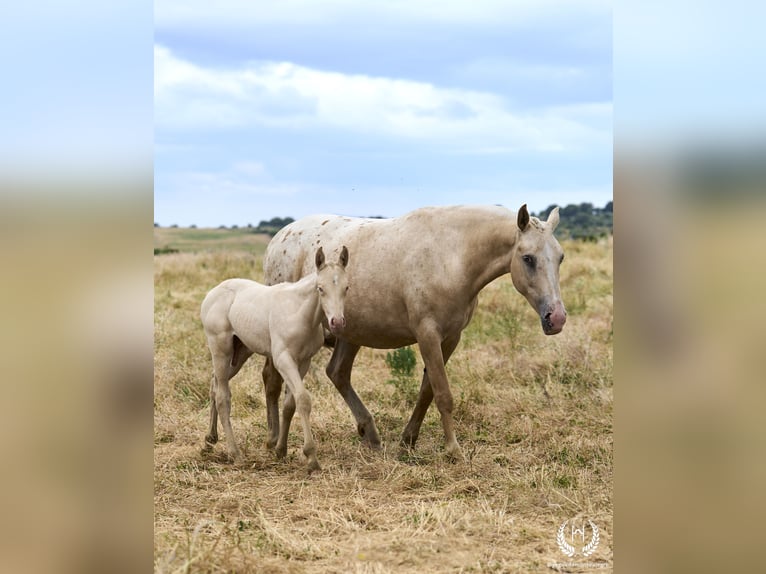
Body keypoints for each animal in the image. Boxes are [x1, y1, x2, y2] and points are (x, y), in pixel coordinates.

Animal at [201, 248, 352, 472]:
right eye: (321, 288)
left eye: (346, 287)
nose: (337, 323)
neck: (300, 312)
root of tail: (212, 293)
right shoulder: (283, 359)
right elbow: (303, 399)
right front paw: (311, 457)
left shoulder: (303, 362)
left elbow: (290, 403)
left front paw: (281, 449)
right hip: (221, 350)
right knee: (222, 397)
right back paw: (235, 453)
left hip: (239, 354)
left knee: (214, 384)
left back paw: (209, 440)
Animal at [264, 205, 568, 462]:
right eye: (527, 258)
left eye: (560, 257)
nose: (557, 318)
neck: (452, 255)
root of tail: (279, 238)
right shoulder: (428, 334)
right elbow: (443, 394)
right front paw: (453, 450)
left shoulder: (450, 338)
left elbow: (427, 391)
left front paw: (408, 440)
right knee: (272, 379)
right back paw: (274, 439)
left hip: (350, 334)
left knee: (337, 373)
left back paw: (369, 433)